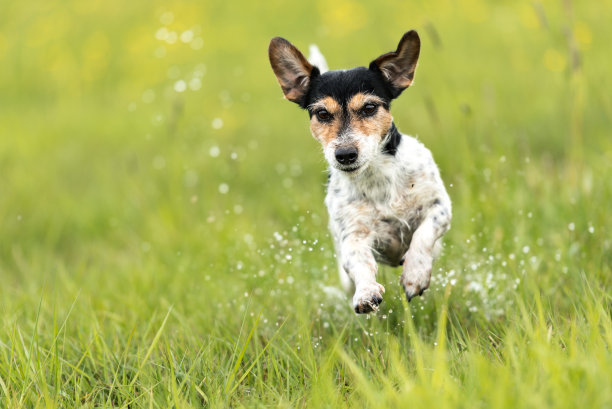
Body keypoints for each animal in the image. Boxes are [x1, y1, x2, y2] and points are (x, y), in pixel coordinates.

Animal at [270, 31, 452, 312]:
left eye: (369, 108)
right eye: (322, 113)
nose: (345, 154)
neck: (377, 179)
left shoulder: (439, 207)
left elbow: (423, 235)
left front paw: (415, 275)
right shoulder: (353, 234)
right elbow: (359, 261)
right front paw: (366, 292)